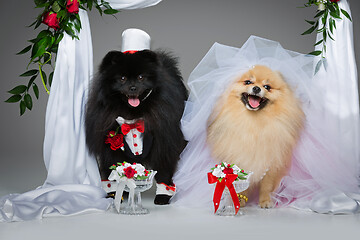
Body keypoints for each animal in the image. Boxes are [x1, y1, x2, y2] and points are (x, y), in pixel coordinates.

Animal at [85, 49, 187, 204]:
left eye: (141, 77)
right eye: (122, 78)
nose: (132, 87)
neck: (133, 114)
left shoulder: (164, 144)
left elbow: (164, 172)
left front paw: (163, 196)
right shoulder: (110, 148)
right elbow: (113, 171)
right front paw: (115, 194)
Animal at [208, 64, 304, 207]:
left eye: (267, 87)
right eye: (248, 82)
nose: (257, 88)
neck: (254, 122)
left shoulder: (272, 160)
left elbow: (266, 185)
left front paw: (265, 201)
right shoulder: (240, 156)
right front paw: (240, 199)